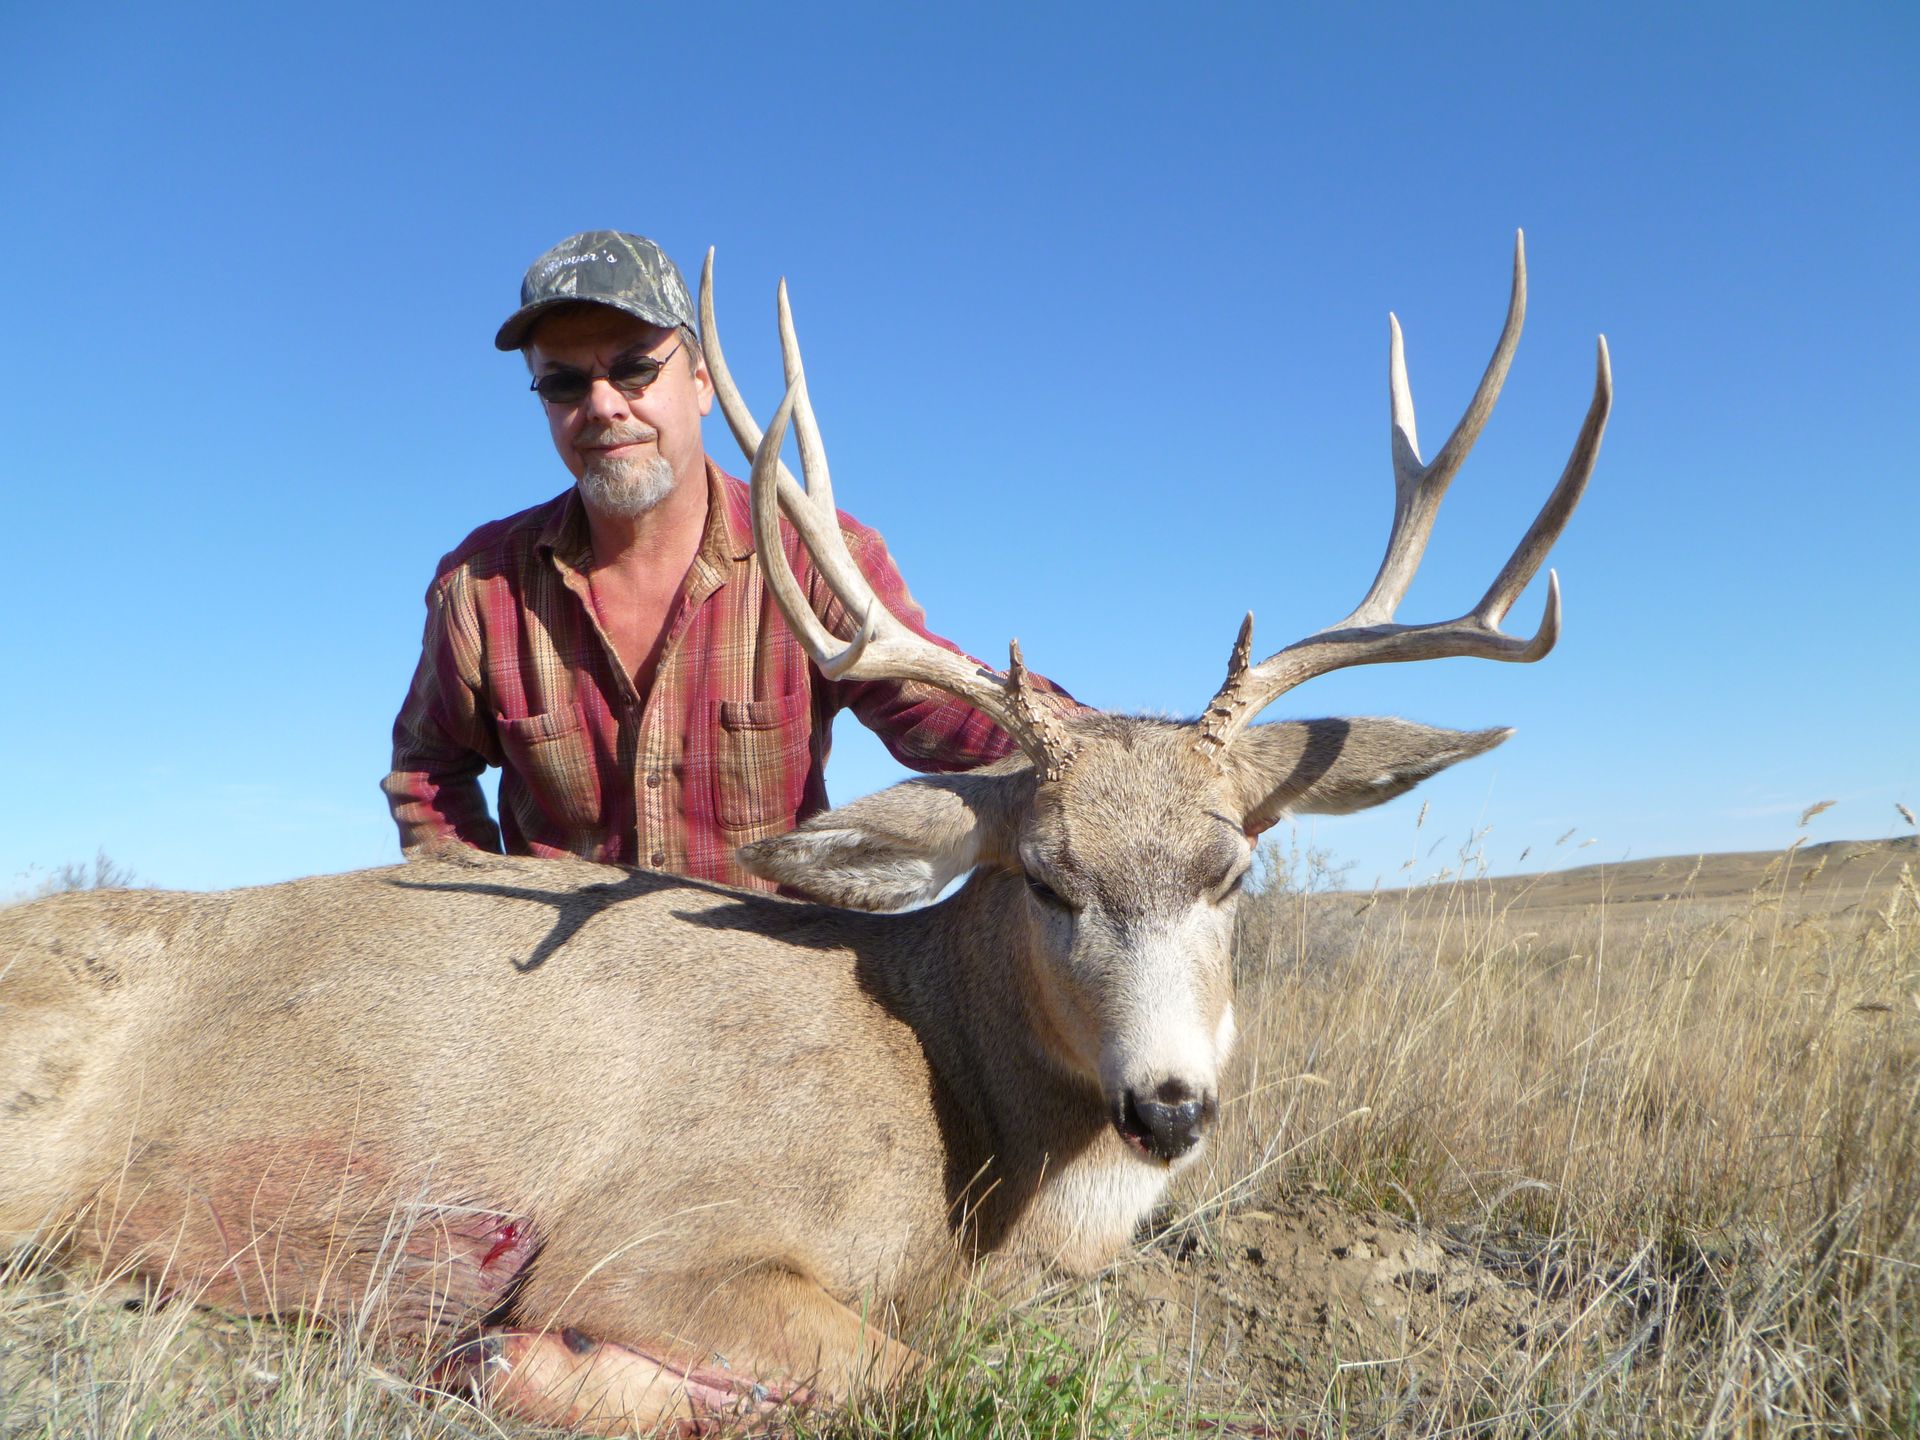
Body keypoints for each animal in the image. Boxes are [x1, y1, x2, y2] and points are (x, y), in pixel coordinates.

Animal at [0, 234, 1608, 1435]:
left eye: (1235, 871)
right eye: (1043, 879)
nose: (1169, 1105)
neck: (964, 1138)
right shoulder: (654, 1231)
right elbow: (898, 1374)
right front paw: (512, 1358)